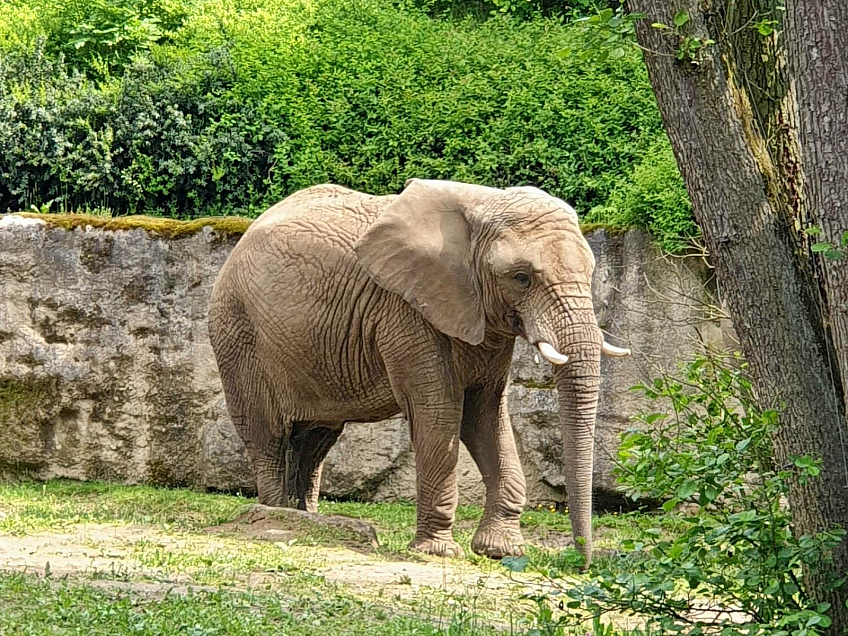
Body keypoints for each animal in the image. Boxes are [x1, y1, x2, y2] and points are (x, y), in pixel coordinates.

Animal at [208, 179, 628, 568]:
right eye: (521, 277)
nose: (580, 562)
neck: (482, 205)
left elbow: (486, 415)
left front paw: (502, 551)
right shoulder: (405, 310)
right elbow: (439, 411)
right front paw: (438, 552)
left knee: (314, 440)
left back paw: (305, 519)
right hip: (238, 332)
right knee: (268, 435)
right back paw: (274, 517)